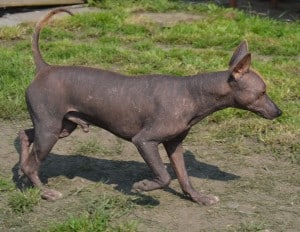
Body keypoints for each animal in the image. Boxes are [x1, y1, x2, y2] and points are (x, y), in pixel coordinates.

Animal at [18, 8, 282, 205]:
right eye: (263, 92)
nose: (279, 112)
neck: (193, 93)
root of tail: (44, 67)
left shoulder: (174, 145)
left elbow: (184, 177)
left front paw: (198, 198)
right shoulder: (145, 141)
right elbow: (164, 176)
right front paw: (143, 186)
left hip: (61, 127)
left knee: (24, 135)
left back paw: (21, 169)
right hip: (50, 130)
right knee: (33, 164)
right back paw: (44, 191)